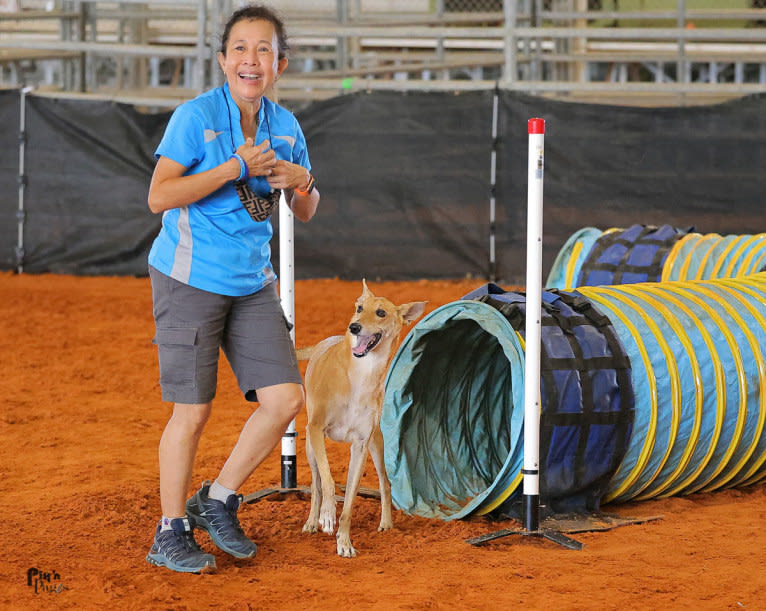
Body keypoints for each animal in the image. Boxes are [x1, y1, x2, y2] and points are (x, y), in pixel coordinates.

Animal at [300, 280, 428, 556]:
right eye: (359, 308)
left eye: (381, 313)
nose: (354, 327)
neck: (360, 374)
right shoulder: (317, 430)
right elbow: (328, 482)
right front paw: (327, 515)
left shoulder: (360, 445)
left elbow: (349, 501)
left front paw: (344, 542)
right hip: (309, 444)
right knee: (316, 483)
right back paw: (312, 520)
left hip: (376, 445)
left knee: (385, 483)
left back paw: (386, 523)